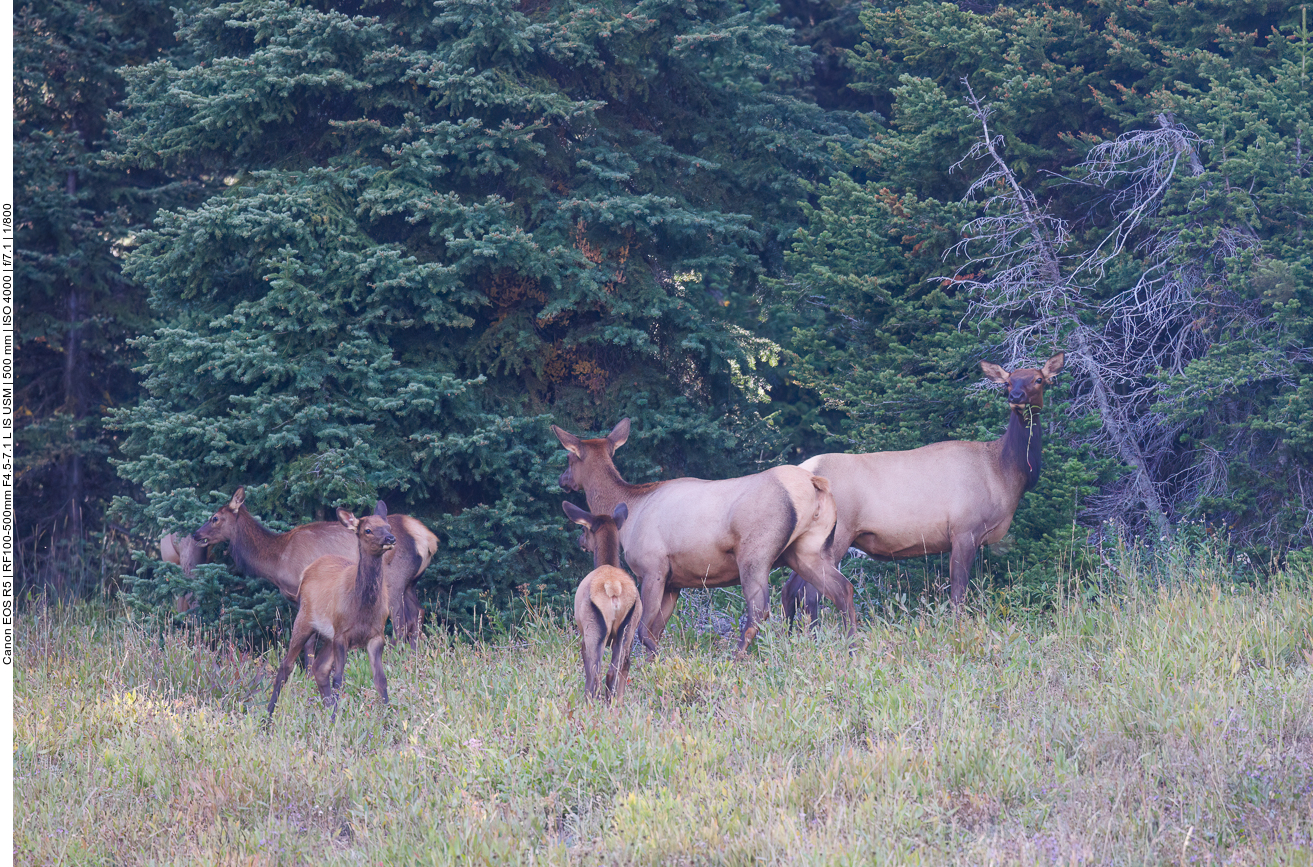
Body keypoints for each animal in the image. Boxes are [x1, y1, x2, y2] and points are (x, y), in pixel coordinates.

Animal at [190, 483, 438, 646]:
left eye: (214, 518)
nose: (195, 534)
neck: (277, 560)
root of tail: (427, 538)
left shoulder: (304, 592)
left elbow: (307, 640)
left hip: (394, 581)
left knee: (401, 622)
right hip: (411, 583)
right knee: (418, 614)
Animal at [263, 501, 391, 725]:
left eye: (388, 526)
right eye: (367, 530)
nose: (390, 538)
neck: (362, 608)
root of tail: (306, 571)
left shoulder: (377, 635)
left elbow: (380, 680)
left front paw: (389, 719)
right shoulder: (342, 634)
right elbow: (339, 678)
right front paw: (337, 720)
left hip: (328, 637)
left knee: (319, 669)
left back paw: (328, 714)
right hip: (304, 619)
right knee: (286, 665)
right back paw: (268, 718)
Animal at [548, 417, 856, 654]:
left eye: (569, 458)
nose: (562, 480)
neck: (631, 507)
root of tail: (815, 483)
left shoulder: (652, 568)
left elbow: (643, 631)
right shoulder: (674, 582)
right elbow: (655, 630)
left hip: (756, 553)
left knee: (759, 610)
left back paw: (737, 657)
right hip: (809, 549)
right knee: (843, 589)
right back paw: (851, 647)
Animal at [561, 501, 643, 704]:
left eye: (584, 529)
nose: (579, 541)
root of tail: (613, 588)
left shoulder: (583, 632)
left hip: (594, 626)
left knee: (596, 671)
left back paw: (591, 702)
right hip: (628, 628)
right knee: (619, 668)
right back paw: (616, 703)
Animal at [782, 349, 1060, 612]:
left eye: (1038, 379)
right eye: (1008, 382)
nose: (1016, 396)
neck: (1003, 473)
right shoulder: (964, 529)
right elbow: (958, 593)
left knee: (789, 589)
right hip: (836, 534)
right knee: (811, 593)